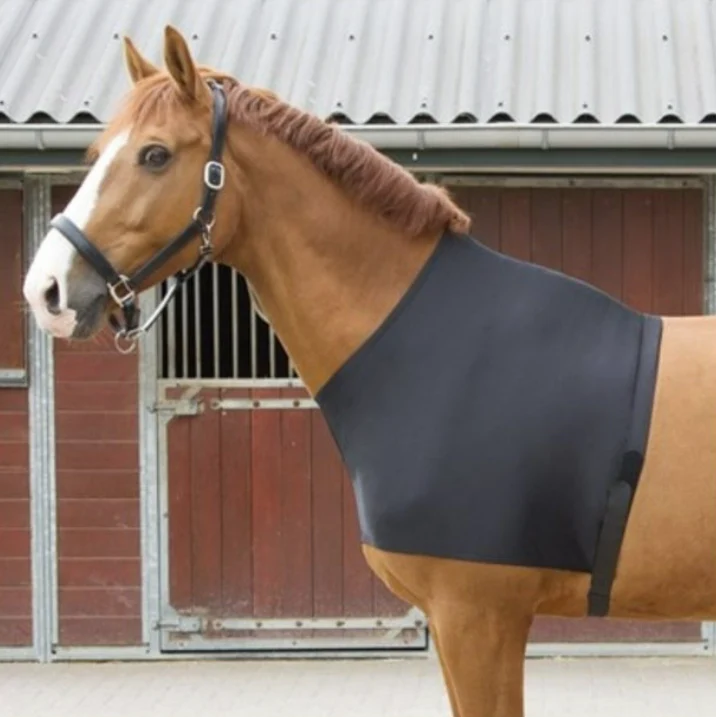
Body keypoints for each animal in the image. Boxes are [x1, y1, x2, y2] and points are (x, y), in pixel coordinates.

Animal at [21, 26, 716, 717]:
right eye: (97, 151)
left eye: (155, 155)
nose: (46, 290)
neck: (437, 347)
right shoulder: (461, 621)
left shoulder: (478, 616)